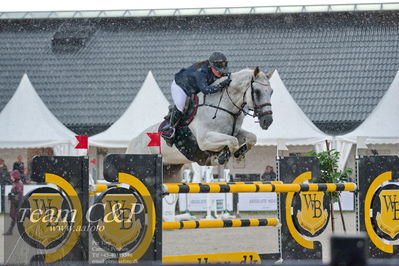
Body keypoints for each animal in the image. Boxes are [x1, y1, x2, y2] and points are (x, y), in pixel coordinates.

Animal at [128, 67, 276, 181]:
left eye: (271, 92)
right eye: (257, 92)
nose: (267, 121)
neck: (224, 106)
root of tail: (132, 142)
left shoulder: (234, 132)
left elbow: (251, 138)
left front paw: (239, 153)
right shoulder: (204, 139)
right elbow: (232, 141)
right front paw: (223, 156)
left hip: (171, 172)